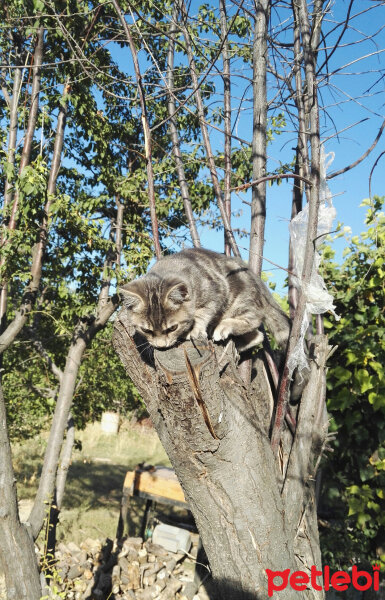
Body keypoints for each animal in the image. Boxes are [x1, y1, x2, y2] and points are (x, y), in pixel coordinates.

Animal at [118, 247, 290, 352]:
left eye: (173, 328)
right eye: (146, 330)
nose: (161, 346)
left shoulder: (217, 290)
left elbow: (203, 312)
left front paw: (194, 329)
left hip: (240, 299)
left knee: (254, 319)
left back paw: (223, 326)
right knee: (258, 336)